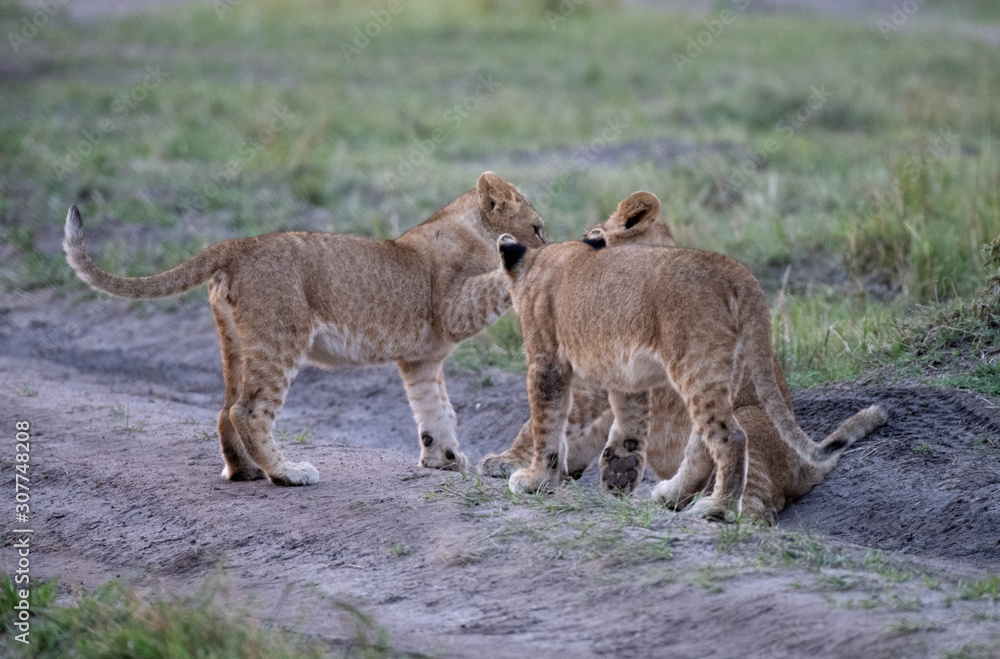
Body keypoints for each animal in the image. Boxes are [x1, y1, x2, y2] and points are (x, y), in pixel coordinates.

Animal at [63, 172, 547, 486]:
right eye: (538, 227)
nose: (548, 236)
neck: (467, 226)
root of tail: (238, 245)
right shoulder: (451, 307)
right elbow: (493, 282)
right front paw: (528, 256)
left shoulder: (419, 359)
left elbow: (436, 409)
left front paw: (444, 459)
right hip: (280, 337)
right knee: (248, 410)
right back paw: (286, 472)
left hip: (236, 343)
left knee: (225, 409)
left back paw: (246, 472)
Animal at [479, 192, 887, 522]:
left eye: (597, 237)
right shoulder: (619, 372)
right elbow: (612, 424)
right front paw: (612, 468)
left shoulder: (556, 364)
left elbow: (541, 422)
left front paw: (520, 470)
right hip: (711, 379)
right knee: (703, 446)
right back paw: (662, 496)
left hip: (724, 392)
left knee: (742, 470)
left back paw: (715, 509)